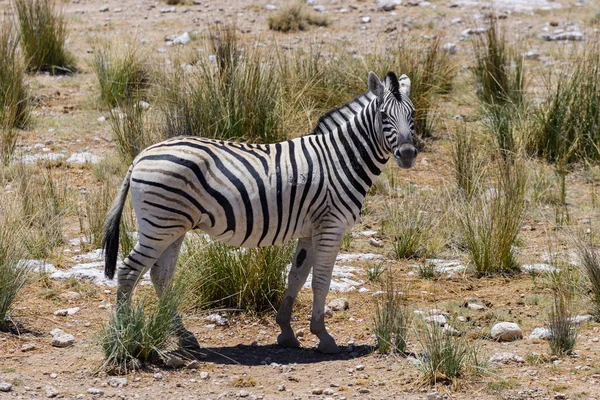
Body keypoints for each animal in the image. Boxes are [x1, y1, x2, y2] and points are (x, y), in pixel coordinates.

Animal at [103, 71, 418, 354]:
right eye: (383, 115)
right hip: (160, 224)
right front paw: (323, 337)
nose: (407, 154)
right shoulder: (331, 226)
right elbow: (321, 281)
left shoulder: (310, 230)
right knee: (129, 271)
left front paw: (287, 332)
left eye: (413, 115)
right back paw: (124, 335)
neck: (340, 159)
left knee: (160, 275)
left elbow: (297, 276)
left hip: (173, 226)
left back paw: (184, 337)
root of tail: (139, 156)